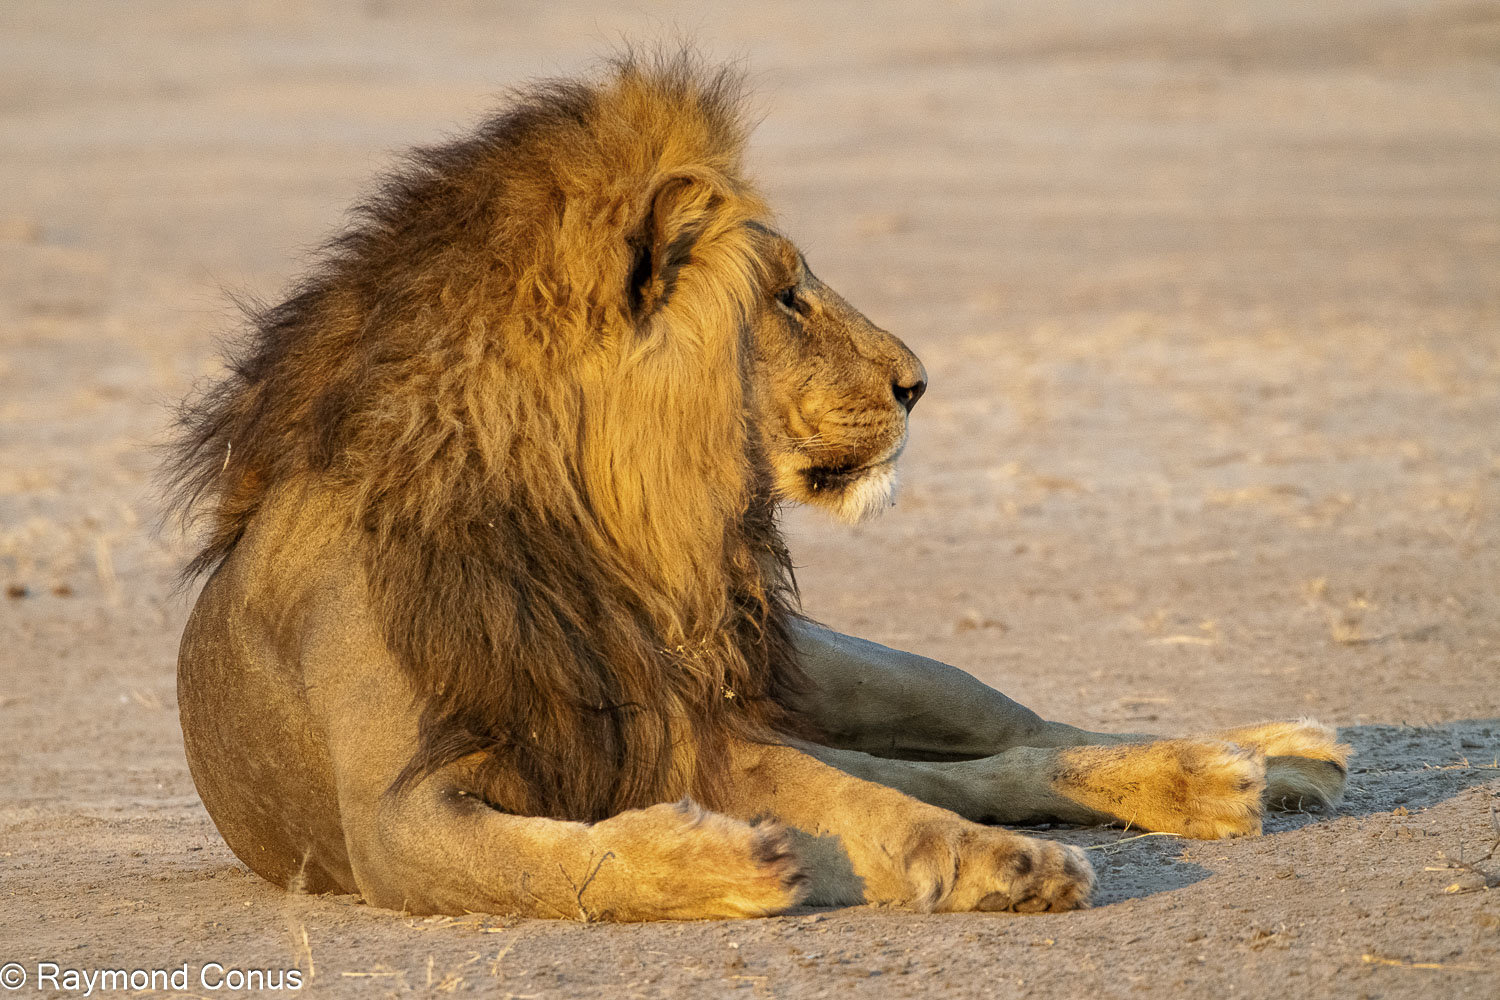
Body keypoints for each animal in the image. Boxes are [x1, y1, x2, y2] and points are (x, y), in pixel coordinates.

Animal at [168, 54, 1349, 921]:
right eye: (785, 299)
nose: (918, 383)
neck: (571, 525)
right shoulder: (393, 818)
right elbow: (562, 862)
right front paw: (746, 863)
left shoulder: (685, 724)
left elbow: (862, 800)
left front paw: (991, 864)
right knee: (970, 769)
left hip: (850, 667)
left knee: (1021, 728)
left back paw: (1252, 761)